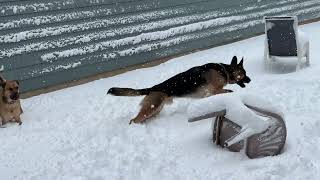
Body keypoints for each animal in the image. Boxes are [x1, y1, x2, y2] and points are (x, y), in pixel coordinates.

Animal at [107, 56, 250, 124]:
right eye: (244, 73)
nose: (250, 80)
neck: (225, 70)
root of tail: (152, 88)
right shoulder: (215, 90)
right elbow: (229, 92)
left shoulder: (208, 94)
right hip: (152, 107)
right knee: (133, 120)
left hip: (155, 109)